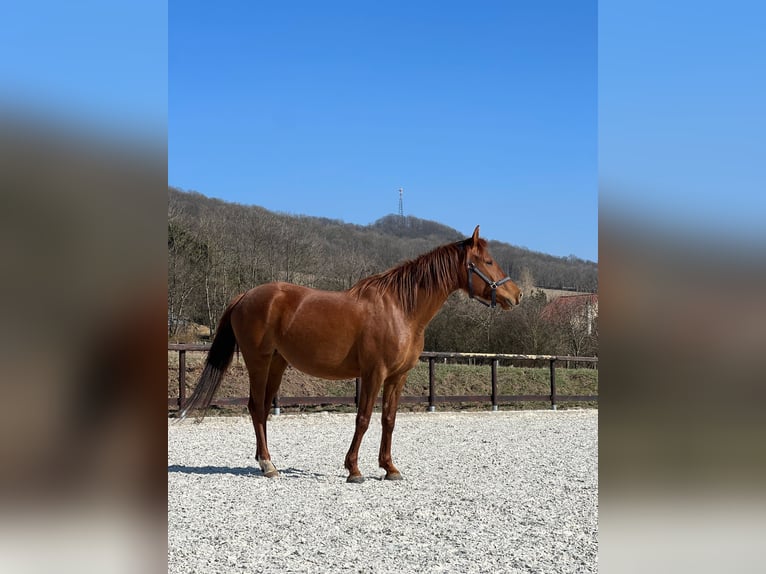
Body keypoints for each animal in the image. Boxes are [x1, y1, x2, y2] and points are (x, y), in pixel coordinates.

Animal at [177, 225, 522, 482]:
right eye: (488, 262)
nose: (516, 295)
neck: (401, 309)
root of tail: (246, 295)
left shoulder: (398, 377)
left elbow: (388, 420)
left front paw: (390, 468)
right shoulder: (373, 373)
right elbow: (364, 418)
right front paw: (354, 469)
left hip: (277, 363)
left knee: (260, 409)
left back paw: (268, 463)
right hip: (258, 362)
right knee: (256, 408)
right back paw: (268, 465)